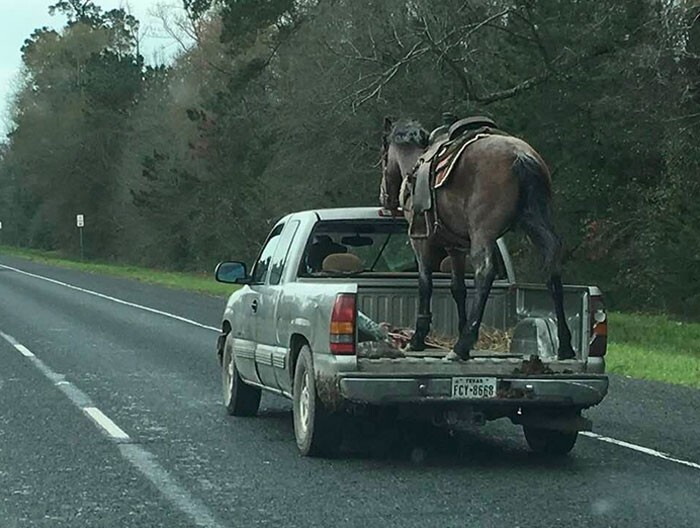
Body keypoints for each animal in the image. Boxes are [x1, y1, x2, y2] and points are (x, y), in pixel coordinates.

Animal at [380, 117, 576, 360]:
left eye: (383, 156)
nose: (384, 198)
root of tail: (521, 156)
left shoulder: (421, 242)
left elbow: (425, 284)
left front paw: (418, 339)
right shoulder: (455, 247)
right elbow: (458, 288)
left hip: (483, 233)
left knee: (485, 272)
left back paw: (461, 346)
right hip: (535, 223)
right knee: (552, 263)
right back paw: (565, 345)